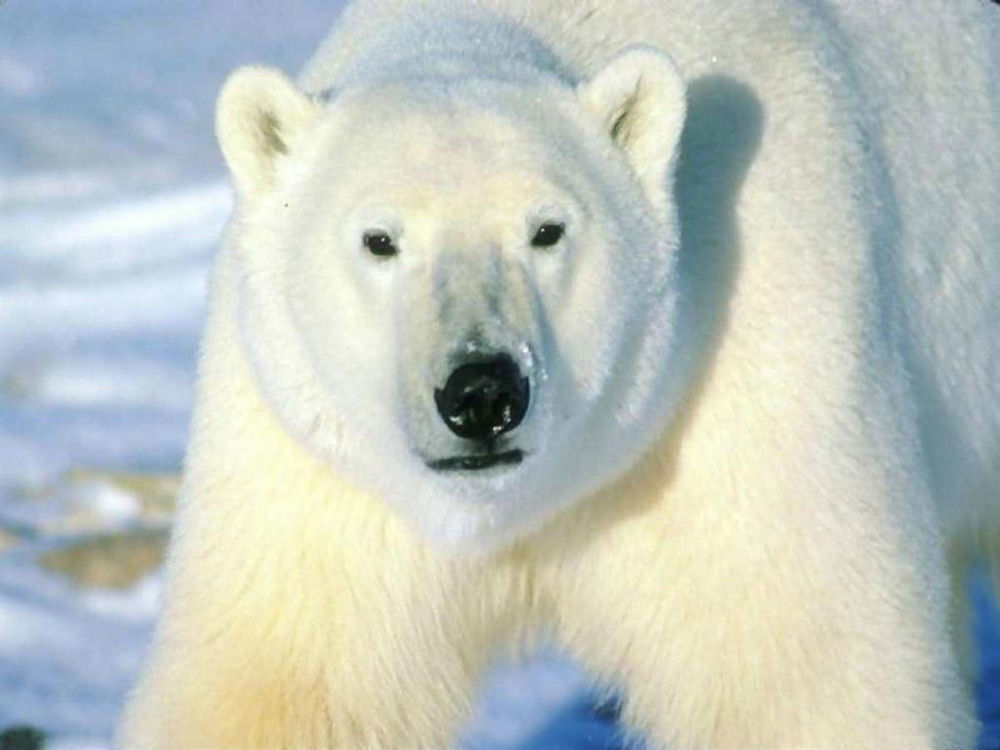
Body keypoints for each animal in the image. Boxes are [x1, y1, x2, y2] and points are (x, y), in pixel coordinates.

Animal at [118, 0, 1000, 747]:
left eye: (547, 230)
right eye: (379, 239)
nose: (481, 393)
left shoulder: (749, 373)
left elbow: (803, 679)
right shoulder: (315, 465)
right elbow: (289, 684)